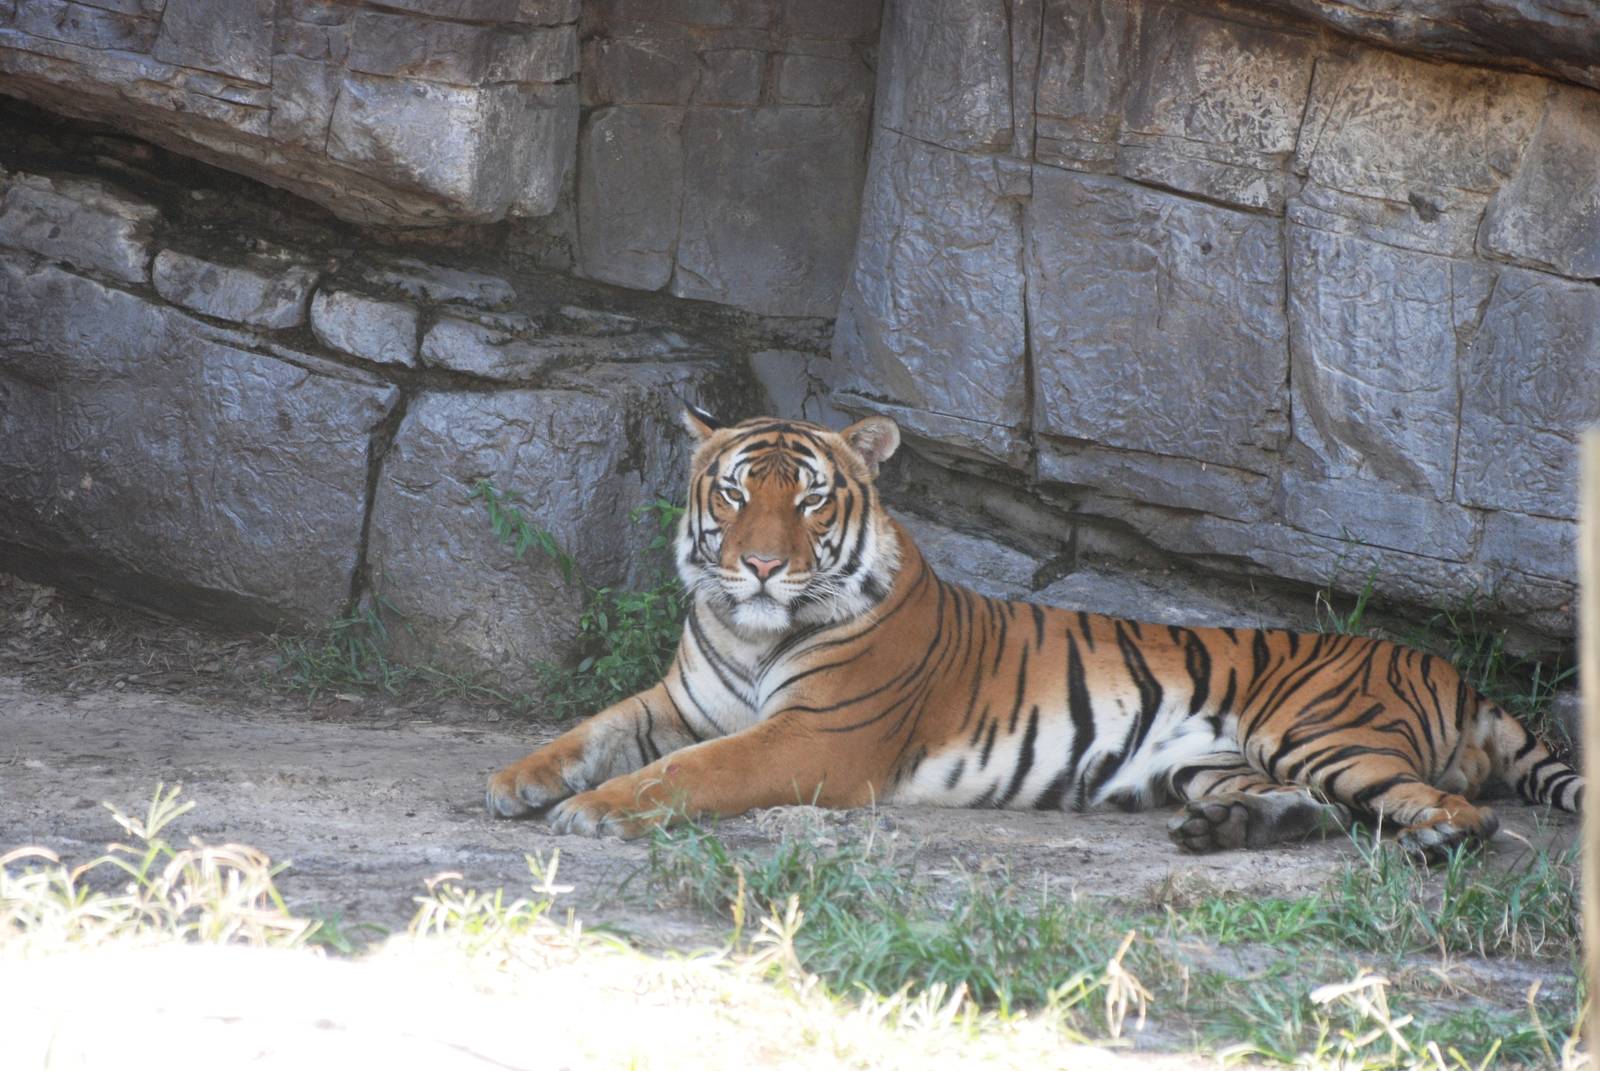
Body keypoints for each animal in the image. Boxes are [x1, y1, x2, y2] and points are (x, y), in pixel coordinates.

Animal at [486, 408, 1585, 859]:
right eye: (732, 491)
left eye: (807, 499)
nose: (758, 565)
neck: (753, 630)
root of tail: (1452, 671)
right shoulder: (682, 702)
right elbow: (594, 730)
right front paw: (515, 782)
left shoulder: (814, 738)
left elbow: (685, 773)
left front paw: (591, 813)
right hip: (1218, 760)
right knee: (1315, 810)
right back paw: (1222, 832)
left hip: (1321, 731)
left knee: (1454, 813)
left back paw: (1434, 841)